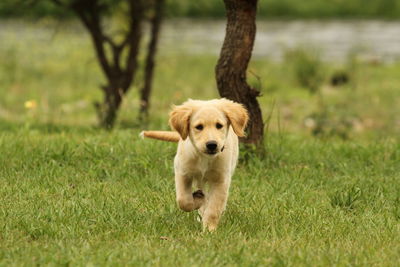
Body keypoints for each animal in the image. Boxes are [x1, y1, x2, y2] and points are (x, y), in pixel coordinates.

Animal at [141, 99, 247, 232]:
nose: (212, 144)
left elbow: (214, 207)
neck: (204, 158)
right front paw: (197, 201)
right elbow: (183, 200)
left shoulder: (221, 179)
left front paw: (209, 229)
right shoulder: (182, 171)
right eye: (199, 127)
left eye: (219, 125)